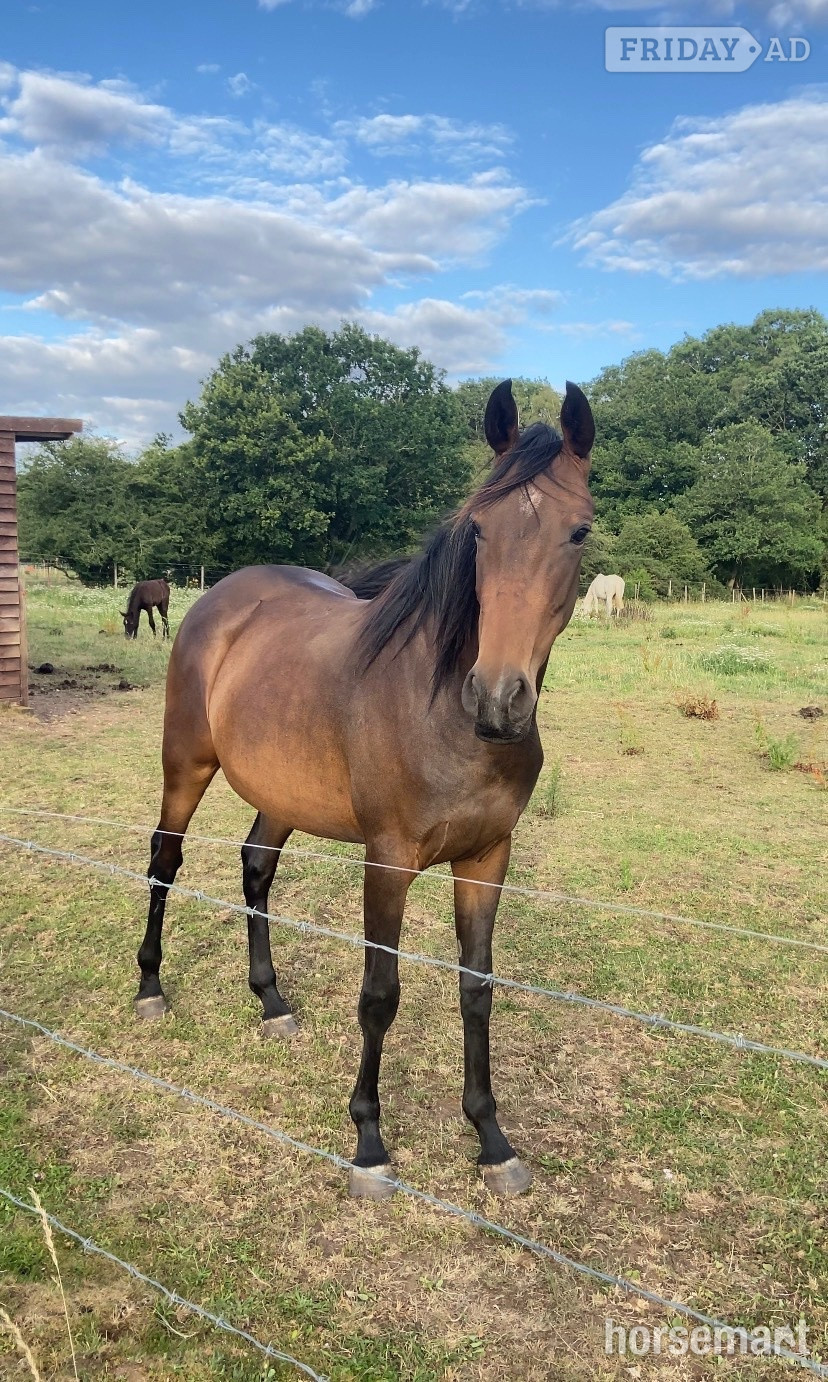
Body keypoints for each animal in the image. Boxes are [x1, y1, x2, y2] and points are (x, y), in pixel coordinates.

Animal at [134, 379, 595, 1199]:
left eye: (578, 531)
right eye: (477, 530)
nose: (498, 697)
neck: (443, 712)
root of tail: (223, 598)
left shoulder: (487, 857)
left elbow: (477, 986)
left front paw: (492, 1141)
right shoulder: (388, 860)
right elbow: (381, 994)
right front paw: (370, 1144)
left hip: (281, 794)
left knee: (256, 867)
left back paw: (271, 1002)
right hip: (185, 765)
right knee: (165, 858)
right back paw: (151, 989)